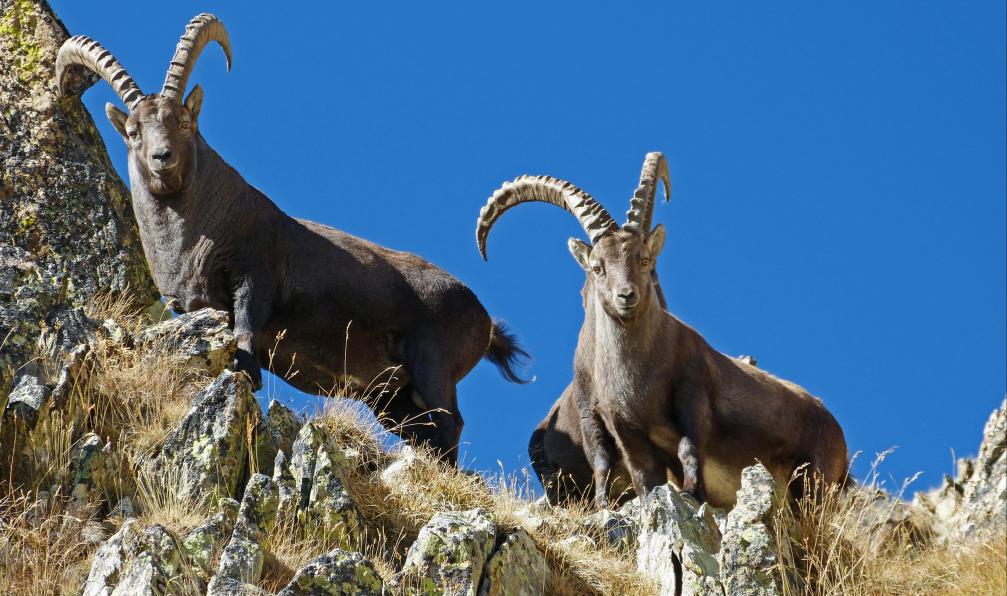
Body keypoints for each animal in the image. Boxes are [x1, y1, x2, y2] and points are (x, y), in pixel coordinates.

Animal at [56, 14, 528, 464]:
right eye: (133, 131)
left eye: (184, 121)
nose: (162, 157)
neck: (192, 235)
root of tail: (485, 321)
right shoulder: (189, 306)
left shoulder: (253, 279)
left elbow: (246, 338)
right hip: (390, 398)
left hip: (433, 367)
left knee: (450, 427)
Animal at [477, 152, 848, 508]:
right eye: (598, 267)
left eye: (643, 259)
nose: (626, 295)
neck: (639, 375)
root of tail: (835, 428)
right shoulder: (617, 425)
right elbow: (631, 471)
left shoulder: (691, 395)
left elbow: (689, 449)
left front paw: (694, 496)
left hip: (813, 479)